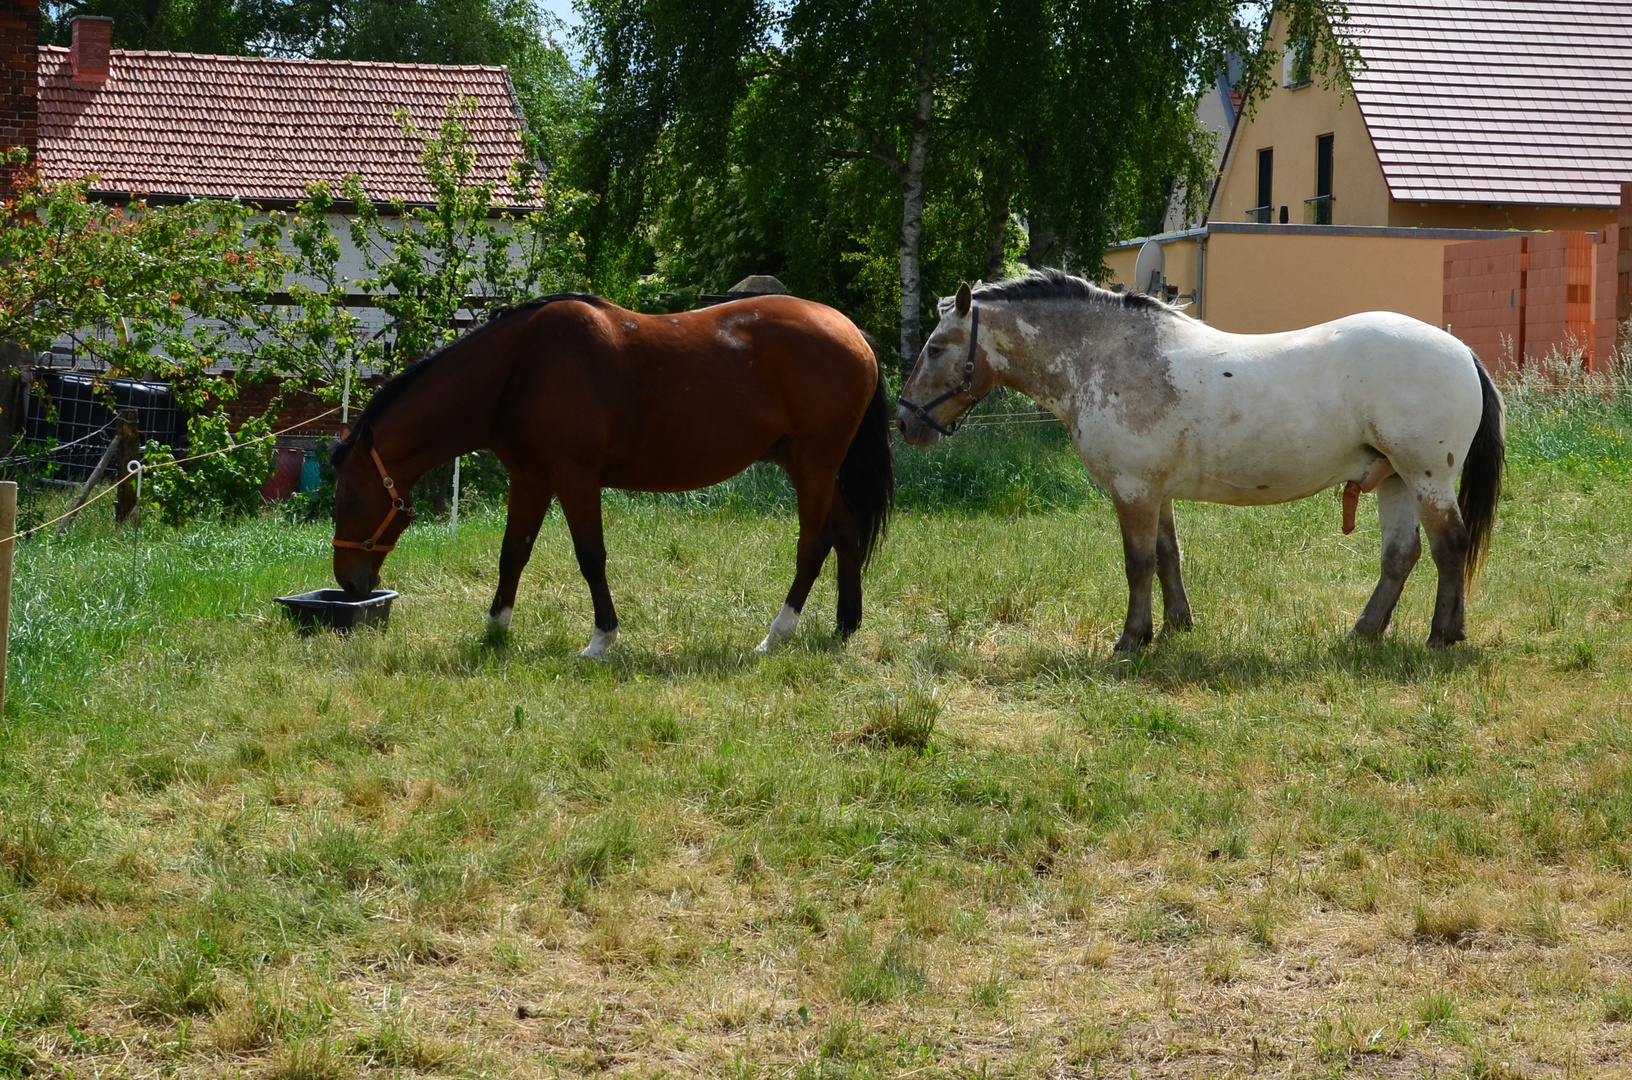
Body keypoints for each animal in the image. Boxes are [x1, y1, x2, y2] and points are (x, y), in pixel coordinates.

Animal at [329, 292, 894, 655]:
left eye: (350, 499)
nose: (350, 584)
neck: (519, 368)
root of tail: (853, 332)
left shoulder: (575, 478)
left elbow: (590, 557)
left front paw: (602, 639)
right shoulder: (531, 479)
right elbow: (513, 553)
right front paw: (495, 629)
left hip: (814, 463)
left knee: (813, 544)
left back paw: (777, 634)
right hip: (806, 464)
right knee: (846, 532)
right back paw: (845, 626)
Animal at [900, 275, 1494, 655]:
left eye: (935, 347)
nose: (905, 420)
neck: (1108, 357)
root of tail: (1462, 350)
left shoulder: (1133, 490)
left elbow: (1138, 563)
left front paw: (1132, 639)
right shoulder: (1156, 493)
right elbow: (1169, 557)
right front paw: (1175, 628)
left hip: (1425, 476)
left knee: (1449, 548)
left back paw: (1443, 636)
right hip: (1394, 479)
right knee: (1401, 557)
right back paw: (1364, 633)